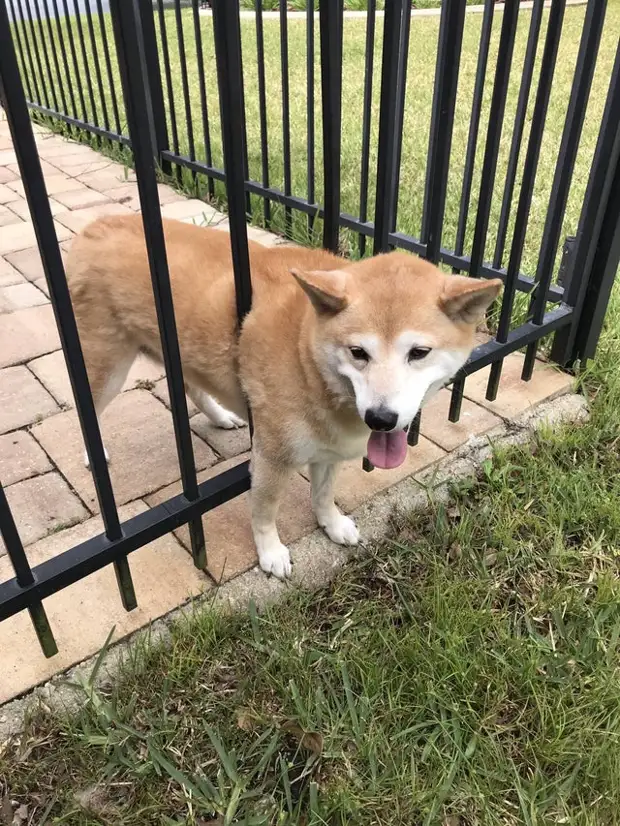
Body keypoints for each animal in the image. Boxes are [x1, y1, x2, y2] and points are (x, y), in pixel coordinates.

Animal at [65, 219, 502, 580]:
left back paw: (220, 416)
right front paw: (270, 553)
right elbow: (264, 509)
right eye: (358, 352)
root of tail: (93, 226)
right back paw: (93, 454)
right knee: (85, 413)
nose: (380, 418)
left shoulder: (327, 450)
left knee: (191, 386)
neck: (306, 352)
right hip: (106, 368)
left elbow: (323, 495)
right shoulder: (273, 455)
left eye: (419, 353)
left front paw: (332, 524)